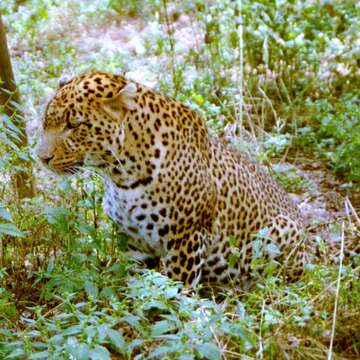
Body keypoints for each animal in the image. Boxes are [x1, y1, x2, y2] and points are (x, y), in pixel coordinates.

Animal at [37, 71, 352, 290]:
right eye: (46, 122)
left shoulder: (186, 238)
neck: (121, 175)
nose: (40, 158)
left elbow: (176, 291)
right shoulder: (134, 244)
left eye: (74, 125)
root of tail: (311, 247)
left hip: (275, 236)